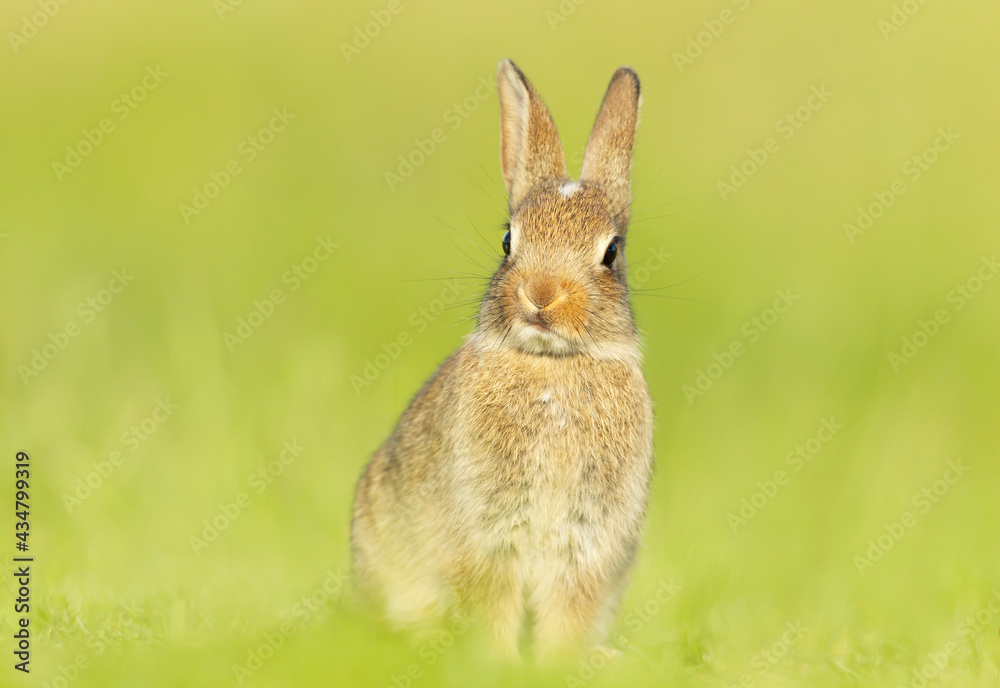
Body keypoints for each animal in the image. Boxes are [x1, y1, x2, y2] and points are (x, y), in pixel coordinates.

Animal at [352, 59, 654, 660]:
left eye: (611, 253)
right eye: (508, 241)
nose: (540, 294)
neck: (552, 365)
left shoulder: (586, 541)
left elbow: (568, 608)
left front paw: (560, 662)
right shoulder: (485, 528)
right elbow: (491, 598)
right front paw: (498, 661)